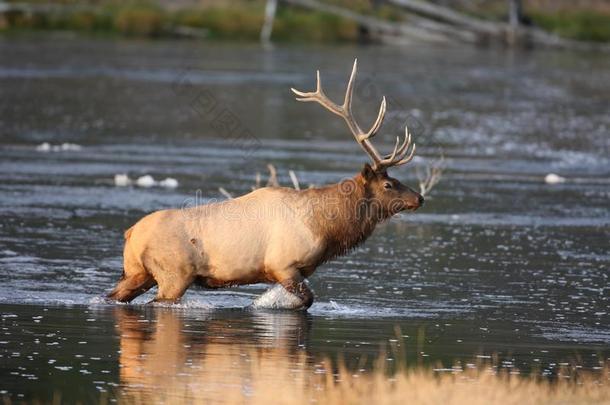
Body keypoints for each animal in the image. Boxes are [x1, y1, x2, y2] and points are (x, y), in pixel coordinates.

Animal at [108, 58, 422, 308]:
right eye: (388, 185)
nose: (419, 198)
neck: (325, 227)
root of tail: (131, 233)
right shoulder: (283, 265)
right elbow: (305, 301)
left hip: (137, 272)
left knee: (113, 296)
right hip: (174, 274)